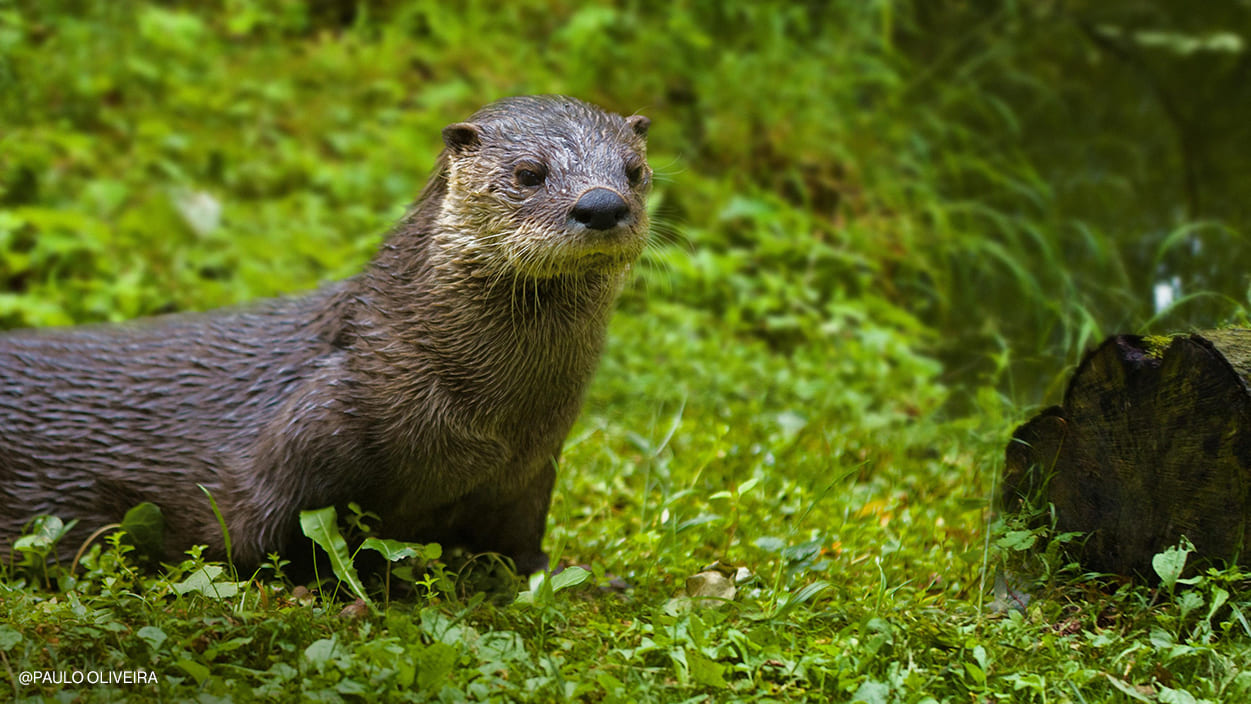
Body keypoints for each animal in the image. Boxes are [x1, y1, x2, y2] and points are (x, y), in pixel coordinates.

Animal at [0, 93, 650, 575]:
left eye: (636, 171)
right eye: (529, 173)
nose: (601, 204)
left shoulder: (531, 468)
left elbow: (521, 545)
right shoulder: (309, 431)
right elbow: (264, 540)